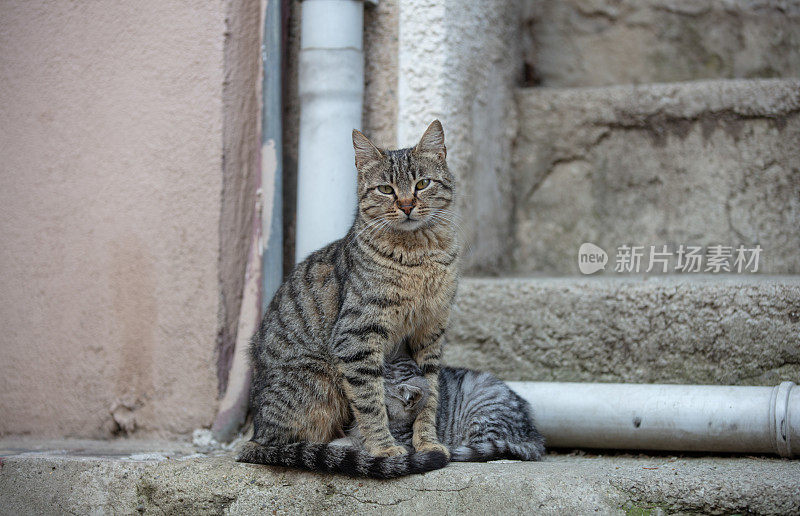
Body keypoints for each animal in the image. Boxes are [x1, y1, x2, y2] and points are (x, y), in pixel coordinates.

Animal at [238, 121, 460, 480]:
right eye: (385, 189)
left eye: (422, 184)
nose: (407, 205)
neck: (418, 256)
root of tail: (255, 433)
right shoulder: (357, 336)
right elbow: (371, 401)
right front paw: (384, 450)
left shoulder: (430, 334)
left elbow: (430, 395)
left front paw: (427, 443)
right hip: (319, 380)